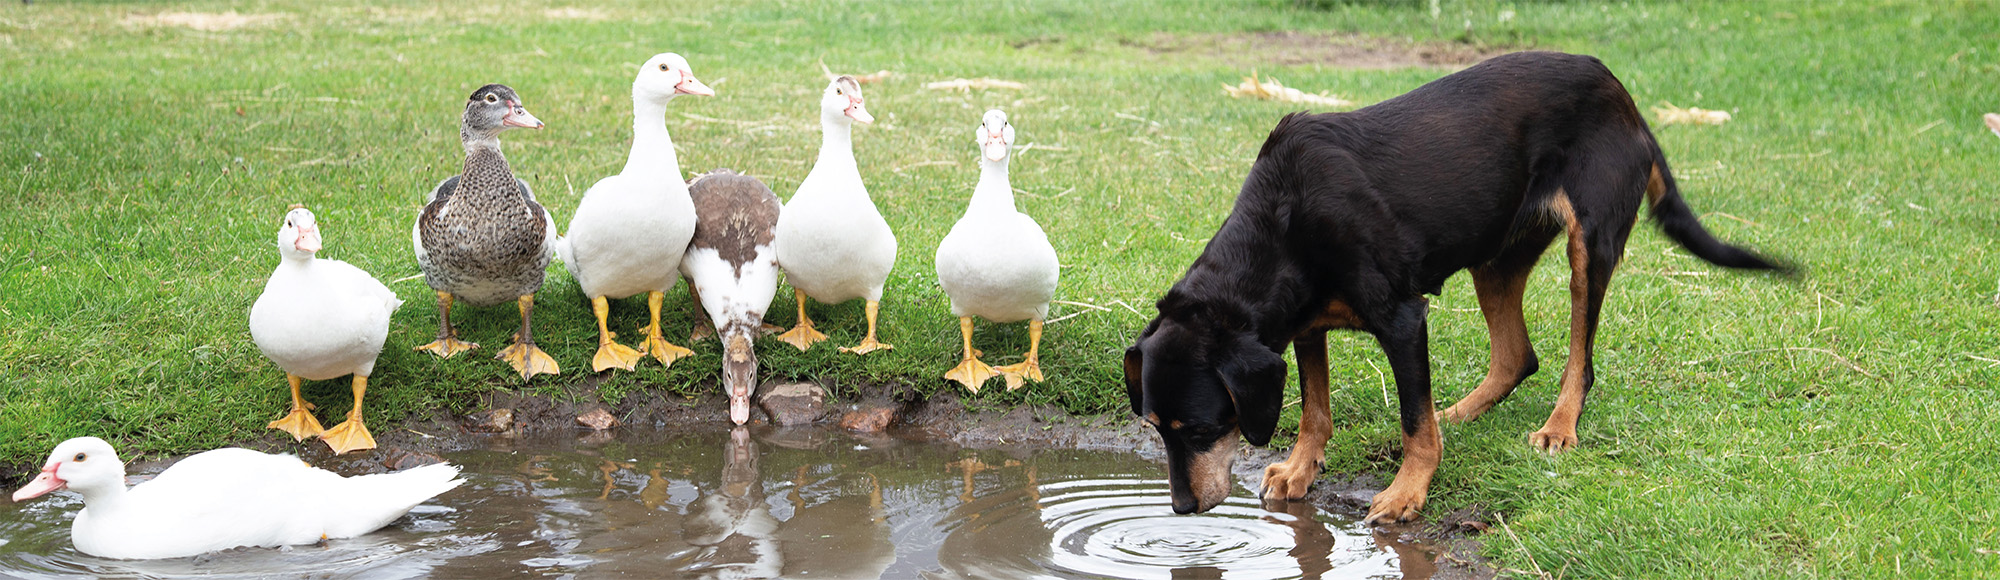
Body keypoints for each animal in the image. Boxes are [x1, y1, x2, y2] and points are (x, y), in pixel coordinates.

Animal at [1120, 51, 1792, 520]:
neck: (1283, 223)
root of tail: (1620, 90)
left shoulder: (1402, 319)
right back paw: (1462, 413)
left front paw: (1407, 492)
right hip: (1496, 256)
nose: (1181, 508)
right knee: (1518, 356)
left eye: (1201, 430)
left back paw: (1559, 427)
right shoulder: (1304, 322)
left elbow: (1412, 424)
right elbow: (1315, 410)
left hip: (1590, 243)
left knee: (1578, 359)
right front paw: (1299, 470)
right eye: (1152, 427)